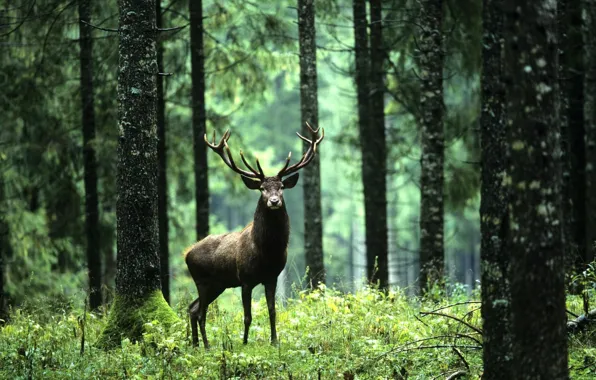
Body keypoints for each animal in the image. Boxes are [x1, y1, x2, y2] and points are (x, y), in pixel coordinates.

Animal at [186, 123, 326, 348]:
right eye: (261, 188)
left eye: (281, 187)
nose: (274, 201)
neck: (266, 251)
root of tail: (187, 254)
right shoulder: (245, 279)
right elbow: (247, 316)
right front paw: (244, 342)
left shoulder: (272, 277)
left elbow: (272, 311)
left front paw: (275, 341)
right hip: (203, 280)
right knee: (200, 312)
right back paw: (206, 346)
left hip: (218, 284)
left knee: (192, 308)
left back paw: (196, 345)